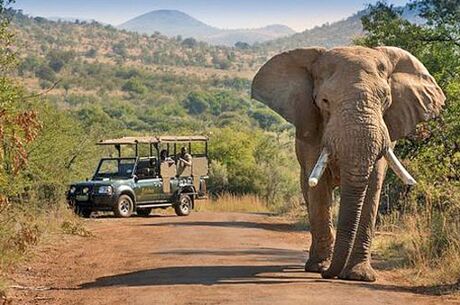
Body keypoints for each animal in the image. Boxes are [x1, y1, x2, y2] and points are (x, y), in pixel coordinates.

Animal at [252, 46, 446, 282]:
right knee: (310, 192)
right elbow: (319, 191)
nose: (328, 274)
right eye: (324, 101)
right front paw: (320, 267)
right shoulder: (313, 134)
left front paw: (360, 276)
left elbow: (373, 186)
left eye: (386, 101)